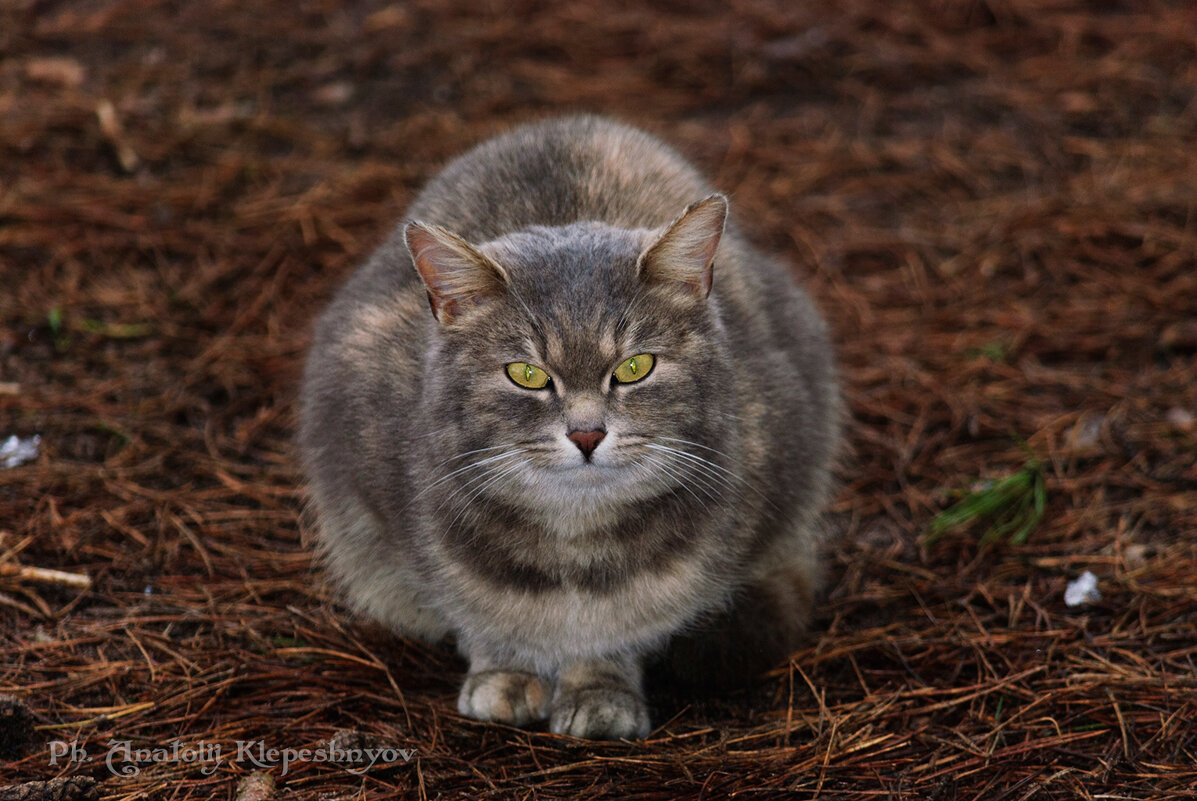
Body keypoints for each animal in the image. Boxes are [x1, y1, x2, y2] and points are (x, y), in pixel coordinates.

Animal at [299, 115, 842, 742]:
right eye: (527, 374)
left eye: (635, 367)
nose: (586, 435)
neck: (575, 541)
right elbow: (479, 609)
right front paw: (505, 674)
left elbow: (618, 630)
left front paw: (600, 691)